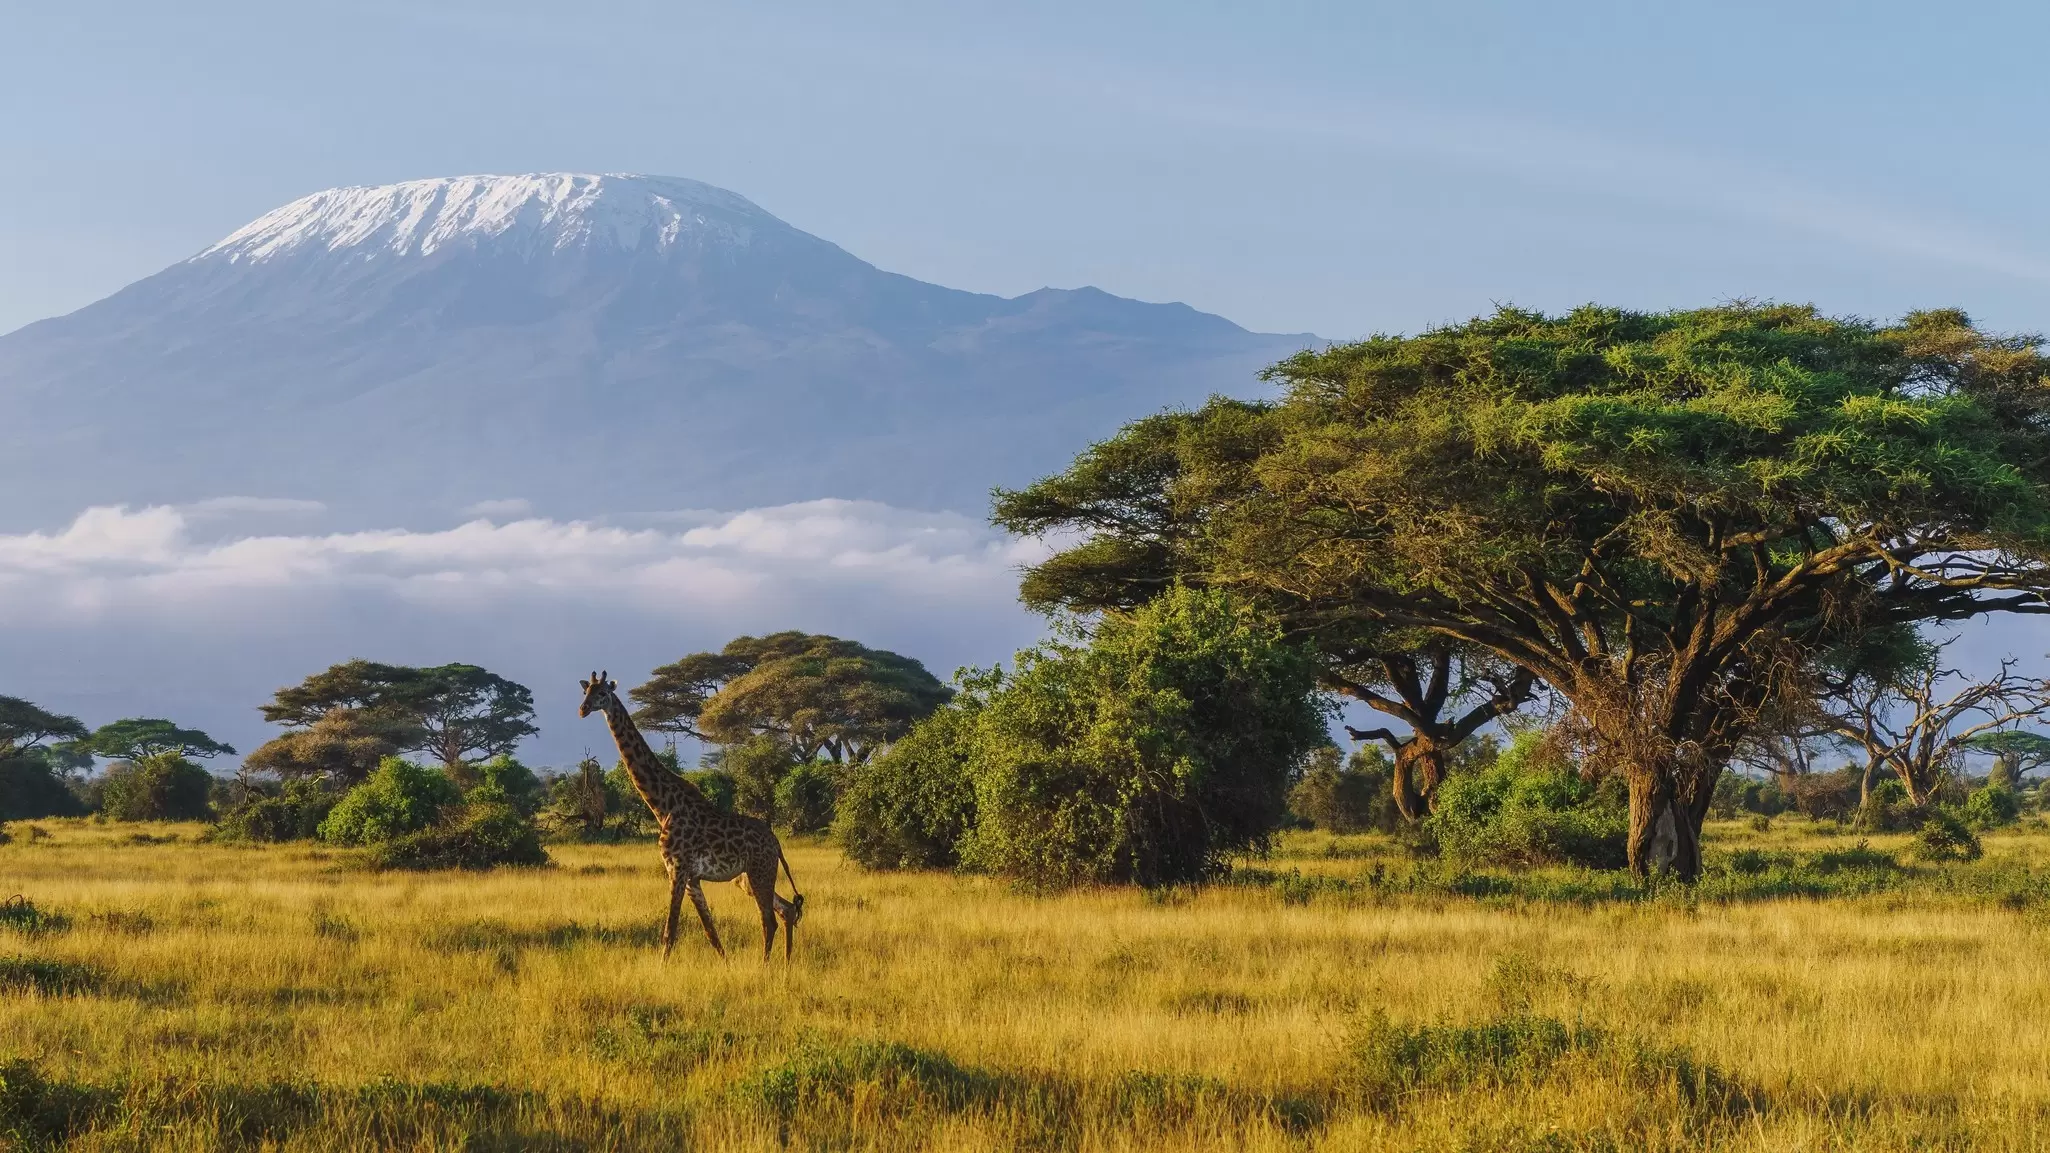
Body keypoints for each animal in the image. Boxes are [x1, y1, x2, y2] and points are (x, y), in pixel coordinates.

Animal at [578, 672, 804, 961]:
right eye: (585, 692)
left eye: (603, 693)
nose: (583, 709)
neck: (663, 805)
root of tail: (776, 843)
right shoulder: (692, 878)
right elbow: (711, 932)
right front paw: (726, 965)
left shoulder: (677, 868)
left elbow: (669, 933)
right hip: (748, 878)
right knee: (786, 909)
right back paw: (786, 964)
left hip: (759, 871)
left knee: (769, 920)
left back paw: (765, 966)